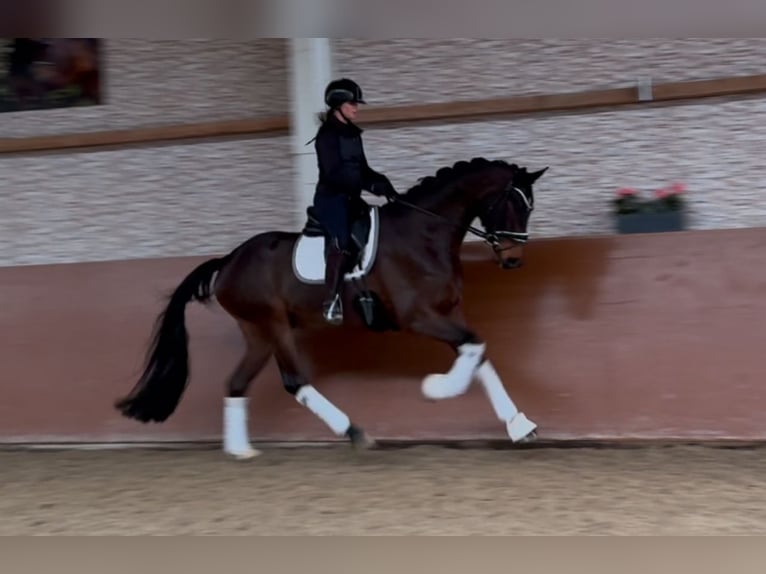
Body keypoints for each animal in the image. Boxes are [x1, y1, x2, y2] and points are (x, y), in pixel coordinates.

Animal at [114, 156, 548, 460]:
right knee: (294, 381)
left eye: (529, 208)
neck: (424, 234)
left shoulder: (449, 312)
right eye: (510, 204)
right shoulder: (419, 317)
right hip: (275, 325)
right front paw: (437, 388)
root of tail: (229, 260)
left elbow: (479, 351)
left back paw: (241, 451)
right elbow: (473, 349)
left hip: (258, 334)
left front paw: (519, 425)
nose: (513, 260)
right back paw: (355, 433)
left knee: (237, 383)